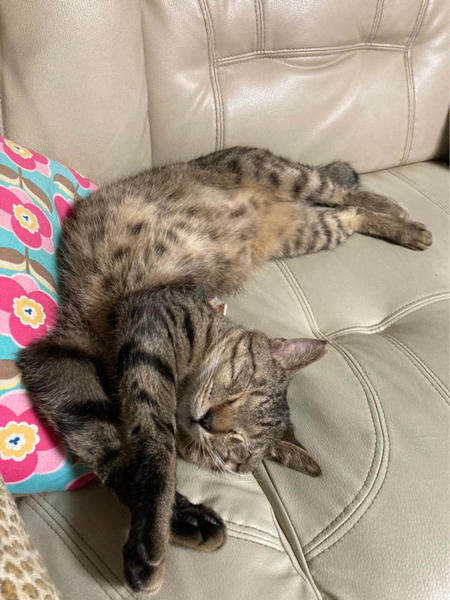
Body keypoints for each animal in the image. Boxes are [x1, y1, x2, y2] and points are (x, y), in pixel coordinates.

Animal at [17, 146, 432, 593]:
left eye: (237, 443)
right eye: (242, 388)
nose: (210, 421)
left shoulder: (65, 361)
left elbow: (123, 451)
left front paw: (178, 524)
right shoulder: (94, 343)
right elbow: (137, 452)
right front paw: (162, 528)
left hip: (311, 230)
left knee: (350, 211)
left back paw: (404, 225)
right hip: (286, 178)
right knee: (343, 193)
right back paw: (403, 216)